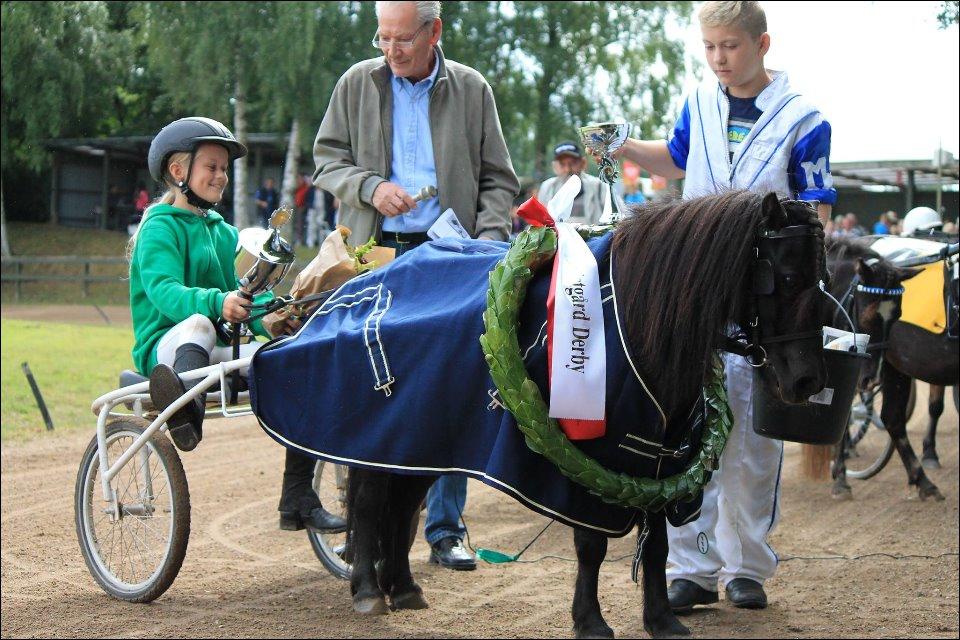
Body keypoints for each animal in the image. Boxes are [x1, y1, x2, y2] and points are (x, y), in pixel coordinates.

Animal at [348, 192, 828, 636]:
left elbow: (657, 544)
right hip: (378, 446)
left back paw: (404, 588)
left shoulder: (657, 462)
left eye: (823, 278)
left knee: (403, 506)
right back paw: (368, 591)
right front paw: (590, 621)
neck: (633, 320)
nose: (809, 380)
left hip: (420, 446)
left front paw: (661, 619)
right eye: (786, 277)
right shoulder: (595, 464)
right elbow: (591, 545)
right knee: (371, 505)